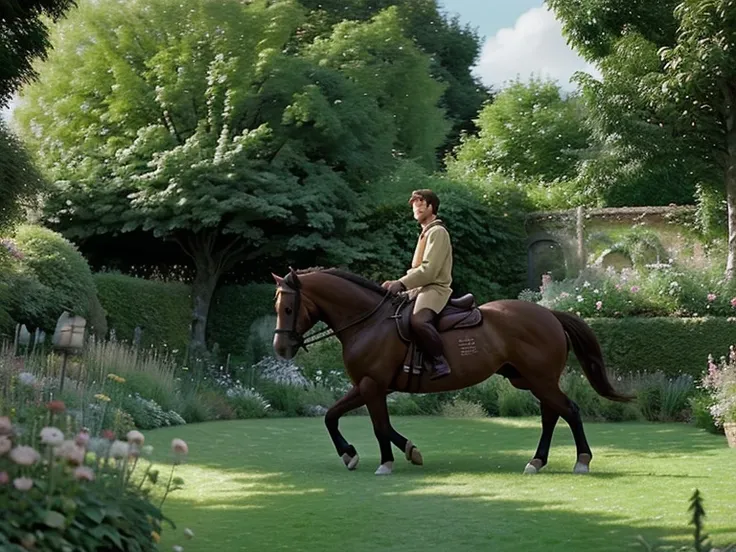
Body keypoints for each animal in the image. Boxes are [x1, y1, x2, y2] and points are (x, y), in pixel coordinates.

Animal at [272, 266, 632, 474]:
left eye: (288, 308)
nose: (280, 347)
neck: (369, 322)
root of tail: (549, 314)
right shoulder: (366, 385)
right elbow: (332, 416)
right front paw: (359, 454)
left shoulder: (373, 385)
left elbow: (379, 427)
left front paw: (388, 461)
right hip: (530, 381)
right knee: (551, 416)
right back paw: (537, 461)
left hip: (541, 381)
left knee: (569, 411)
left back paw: (581, 460)